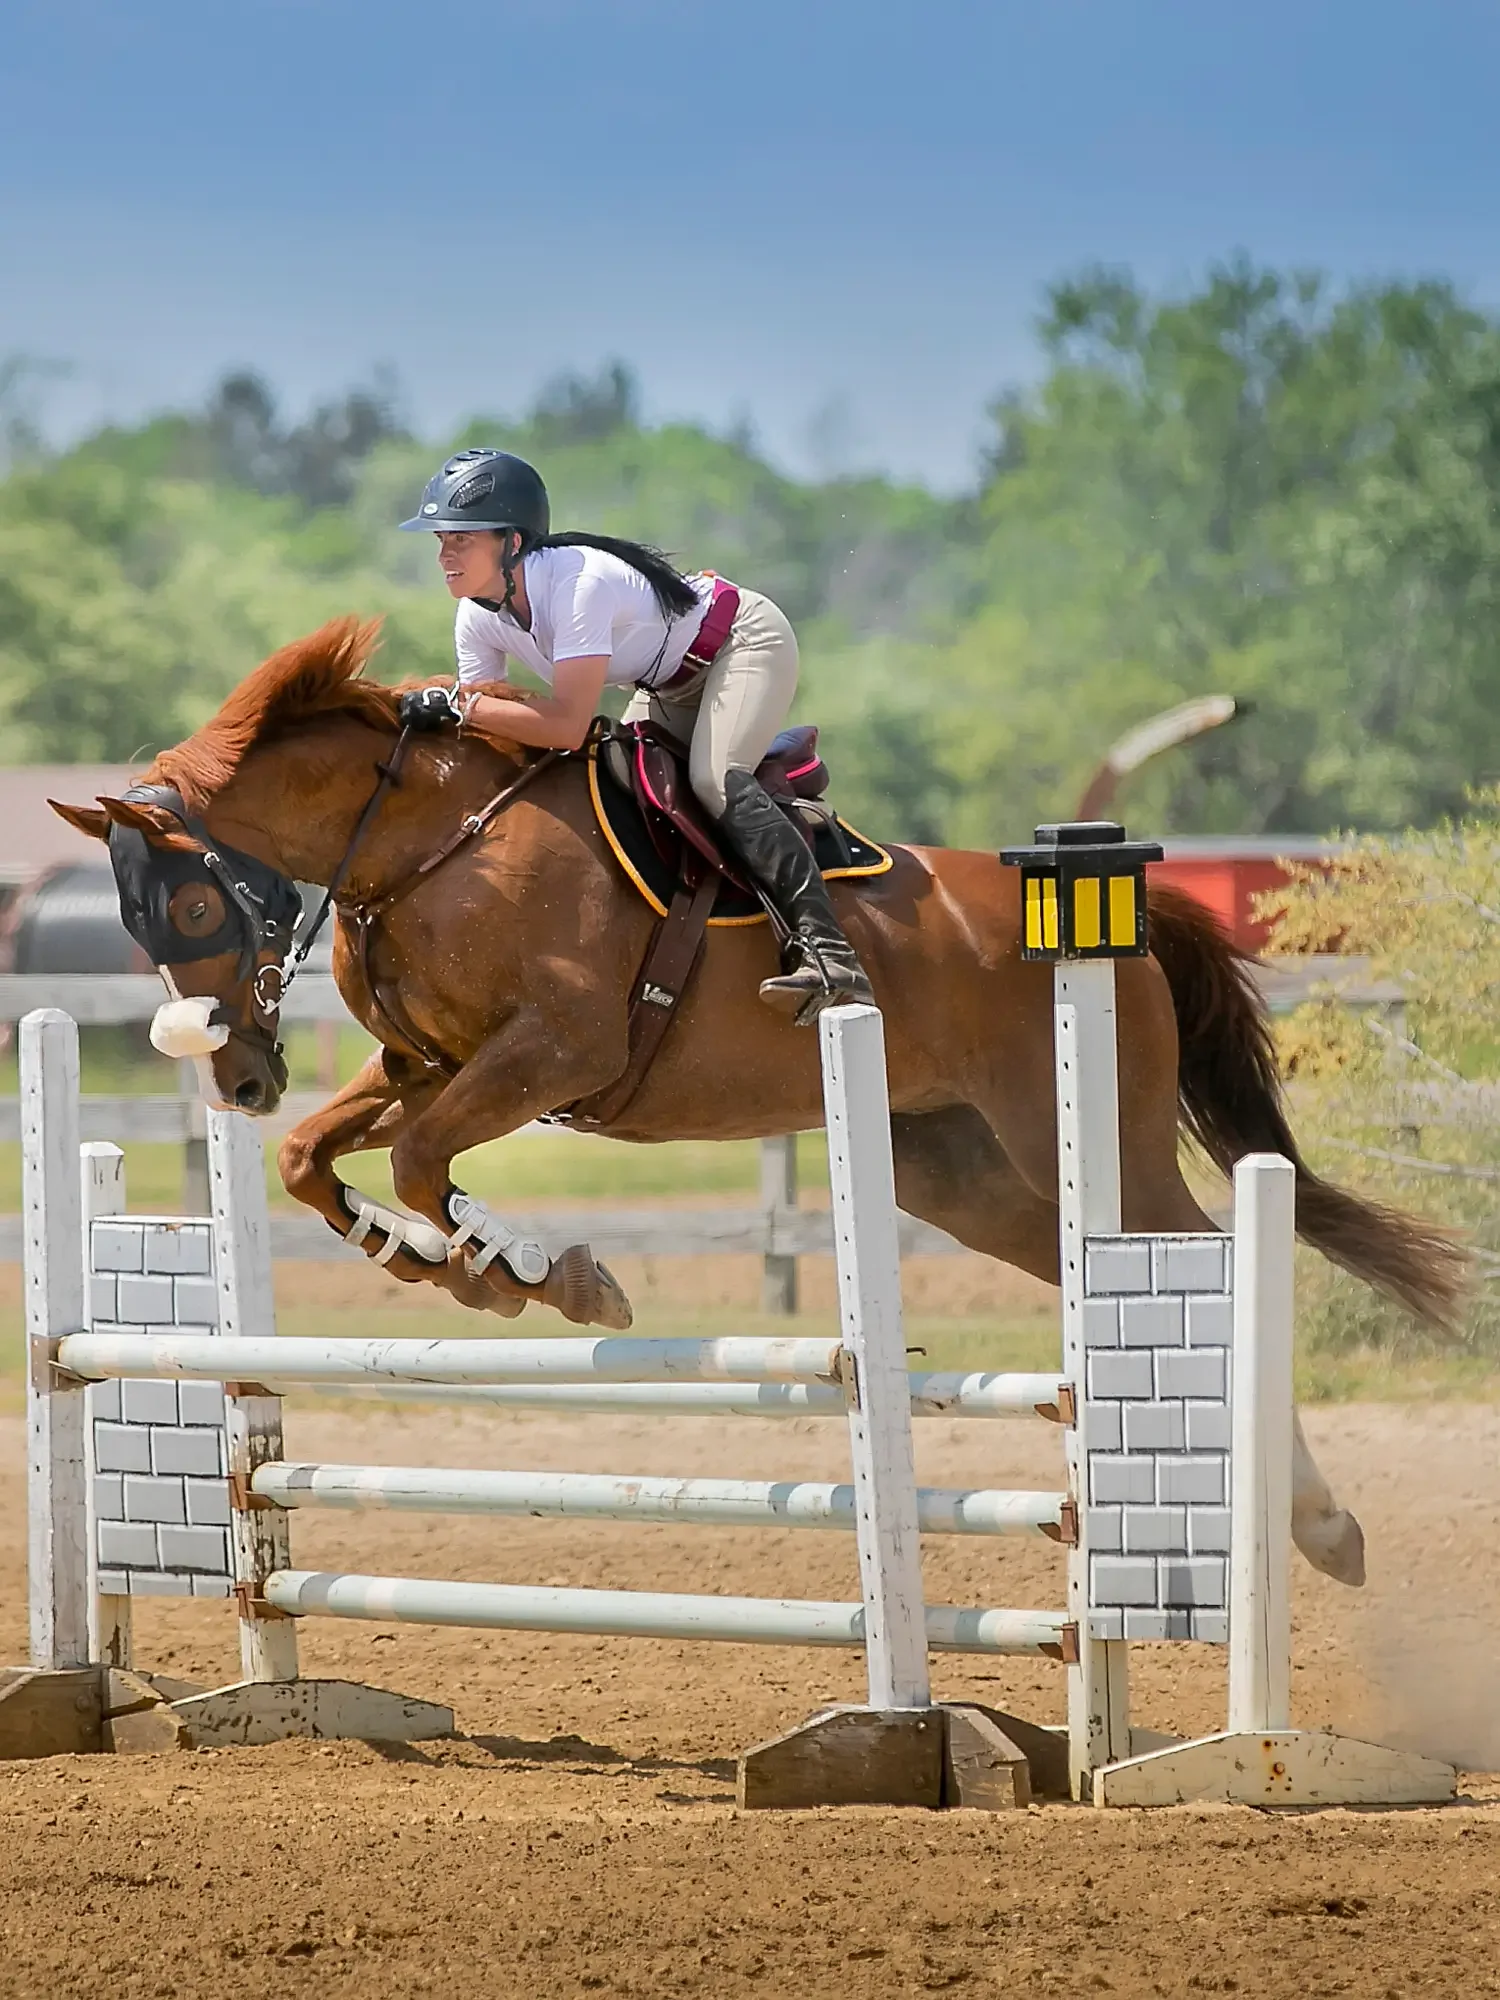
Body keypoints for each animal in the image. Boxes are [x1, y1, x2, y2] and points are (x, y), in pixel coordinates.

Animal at [51, 616, 1465, 1586]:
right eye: (136, 924)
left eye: (192, 903)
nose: (234, 1068)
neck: (427, 841)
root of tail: (1114, 914)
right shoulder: (421, 1064)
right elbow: (316, 1157)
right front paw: (436, 1258)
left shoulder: (553, 1050)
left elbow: (420, 1165)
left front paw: (538, 1275)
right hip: (968, 1173)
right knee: (1077, 1258)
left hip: (1092, 1139)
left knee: (1201, 1248)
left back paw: (1320, 1526)